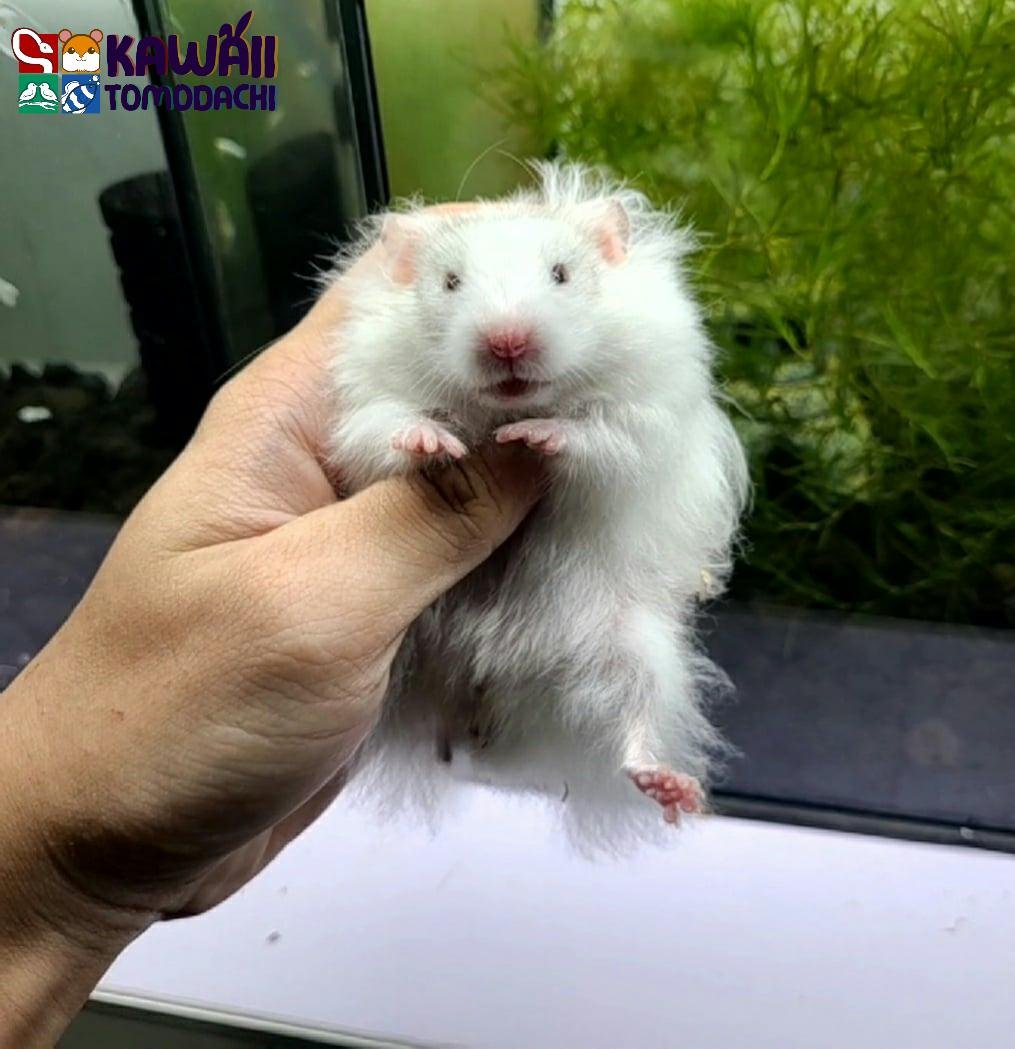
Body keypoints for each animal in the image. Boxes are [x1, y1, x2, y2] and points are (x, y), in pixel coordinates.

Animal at [325, 161, 749, 850]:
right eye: (450, 282)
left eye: (561, 275)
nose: (507, 343)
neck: (507, 404)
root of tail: (485, 690)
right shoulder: (364, 397)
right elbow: (387, 428)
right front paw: (439, 443)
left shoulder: (643, 415)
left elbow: (594, 436)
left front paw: (531, 439)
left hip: (636, 644)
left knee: (638, 717)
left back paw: (670, 787)